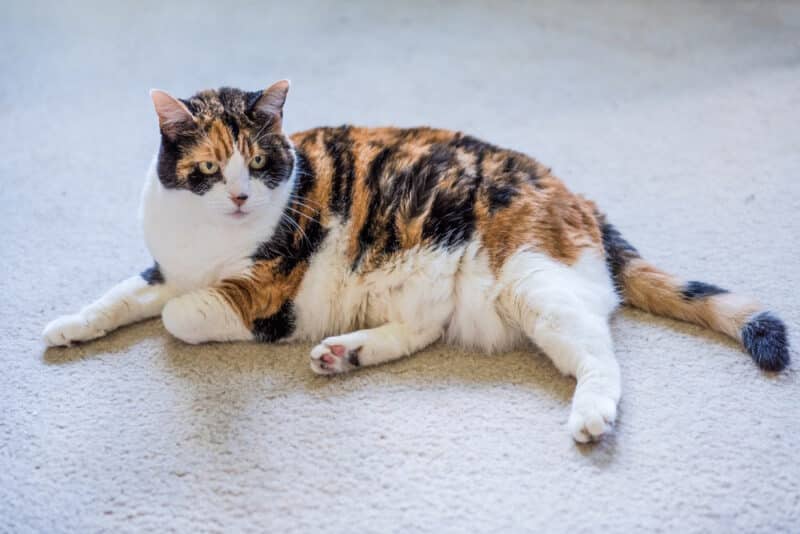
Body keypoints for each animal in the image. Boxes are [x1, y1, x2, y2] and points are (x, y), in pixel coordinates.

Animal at [42, 79, 788, 444]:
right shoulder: (165, 265)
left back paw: (591, 418)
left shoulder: (265, 289)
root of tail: (577, 197)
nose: (239, 196)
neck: (204, 241)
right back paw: (343, 353)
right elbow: (123, 296)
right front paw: (69, 326)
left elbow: (181, 316)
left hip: (531, 281)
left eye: (257, 163)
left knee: (601, 357)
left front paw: (185, 314)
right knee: (425, 326)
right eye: (206, 170)